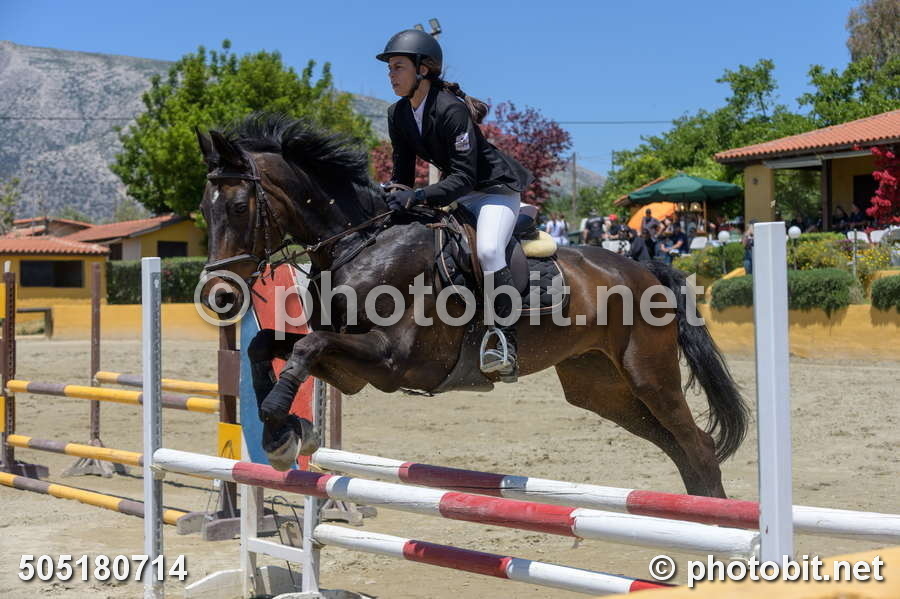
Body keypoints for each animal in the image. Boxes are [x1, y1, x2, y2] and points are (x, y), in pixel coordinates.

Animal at [196, 113, 747, 498]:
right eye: (204, 209)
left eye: (240, 207)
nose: (220, 294)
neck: (362, 242)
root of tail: (642, 268)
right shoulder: (350, 365)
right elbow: (269, 346)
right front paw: (285, 431)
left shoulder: (392, 362)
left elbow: (305, 347)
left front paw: (279, 428)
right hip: (599, 387)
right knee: (679, 448)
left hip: (649, 374)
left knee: (697, 447)